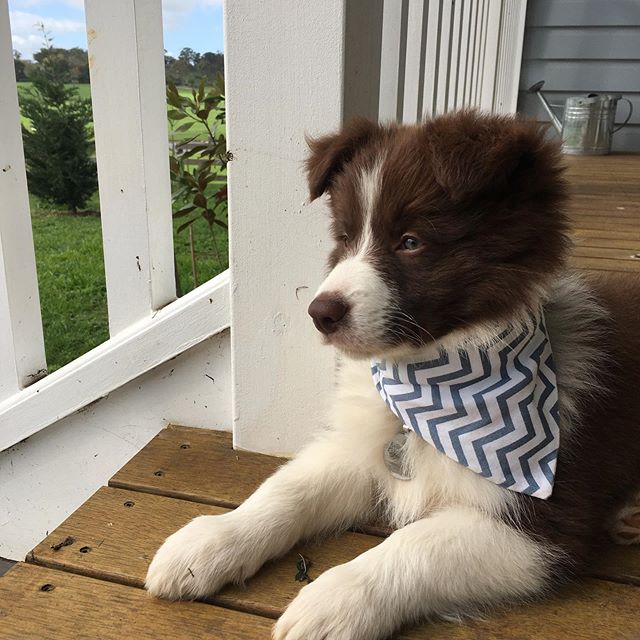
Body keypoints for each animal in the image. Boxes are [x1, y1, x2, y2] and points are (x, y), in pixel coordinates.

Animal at [145, 112, 640, 636]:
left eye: (411, 242)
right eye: (344, 238)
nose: (320, 314)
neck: (428, 378)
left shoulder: (544, 525)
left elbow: (415, 545)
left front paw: (333, 602)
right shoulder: (361, 449)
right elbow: (287, 488)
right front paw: (209, 542)